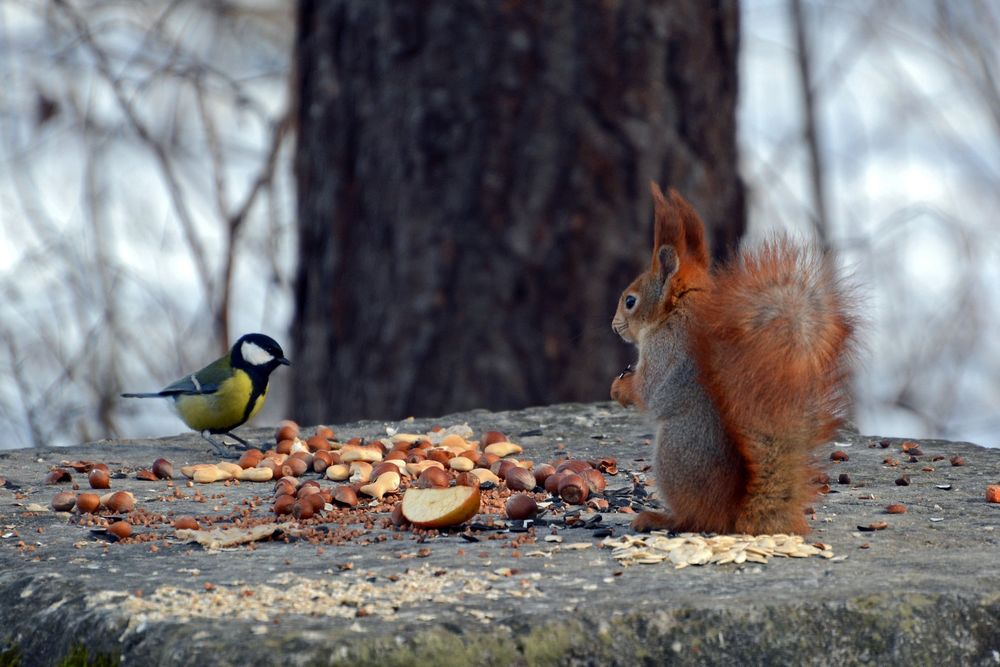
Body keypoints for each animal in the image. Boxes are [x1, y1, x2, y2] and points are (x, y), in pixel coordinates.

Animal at [611, 183, 855, 535]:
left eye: (630, 301)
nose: (614, 325)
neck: (676, 310)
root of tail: (735, 512)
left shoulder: (665, 349)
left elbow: (650, 390)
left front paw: (621, 389)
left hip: (674, 453)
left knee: (695, 518)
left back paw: (659, 518)